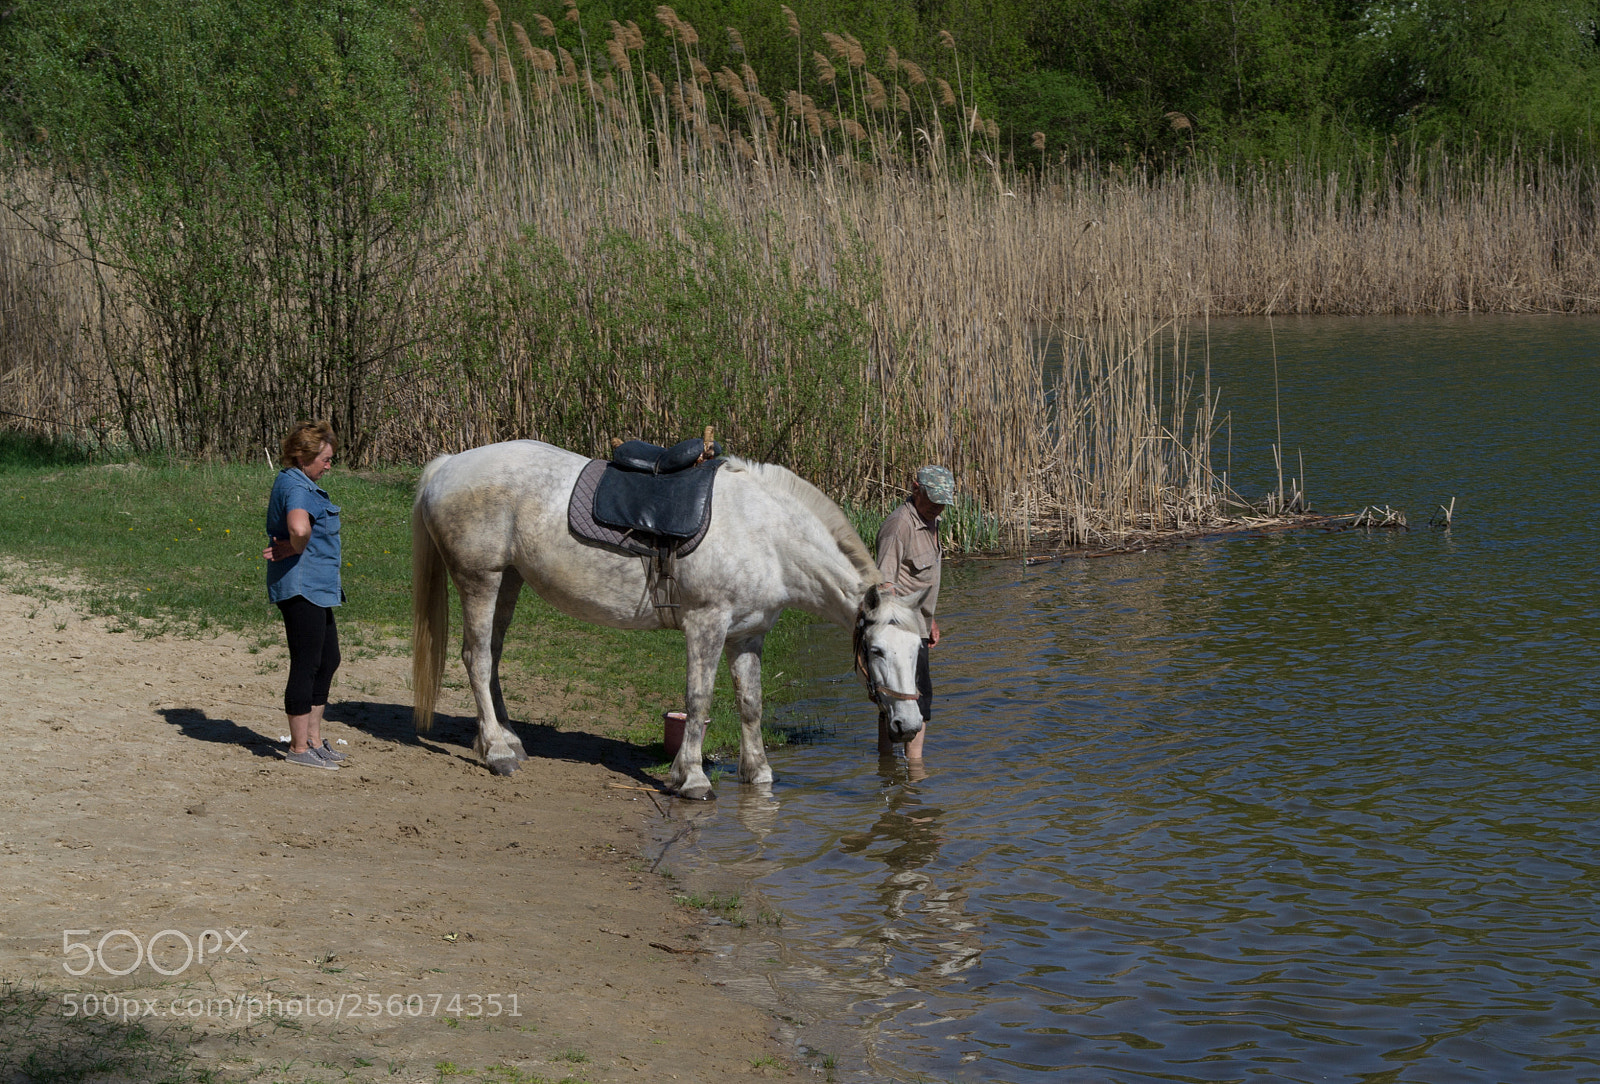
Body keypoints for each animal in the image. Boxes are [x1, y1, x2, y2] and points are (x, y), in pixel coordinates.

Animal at [410, 440, 929, 799]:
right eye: (876, 651)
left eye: (918, 651)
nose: (908, 726)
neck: (767, 534)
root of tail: (449, 464)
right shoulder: (707, 625)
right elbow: (699, 702)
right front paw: (692, 778)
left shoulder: (748, 636)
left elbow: (751, 704)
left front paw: (758, 774)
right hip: (480, 580)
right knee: (476, 658)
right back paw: (497, 753)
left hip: (510, 581)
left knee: (493, 656)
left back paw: (506, 740)